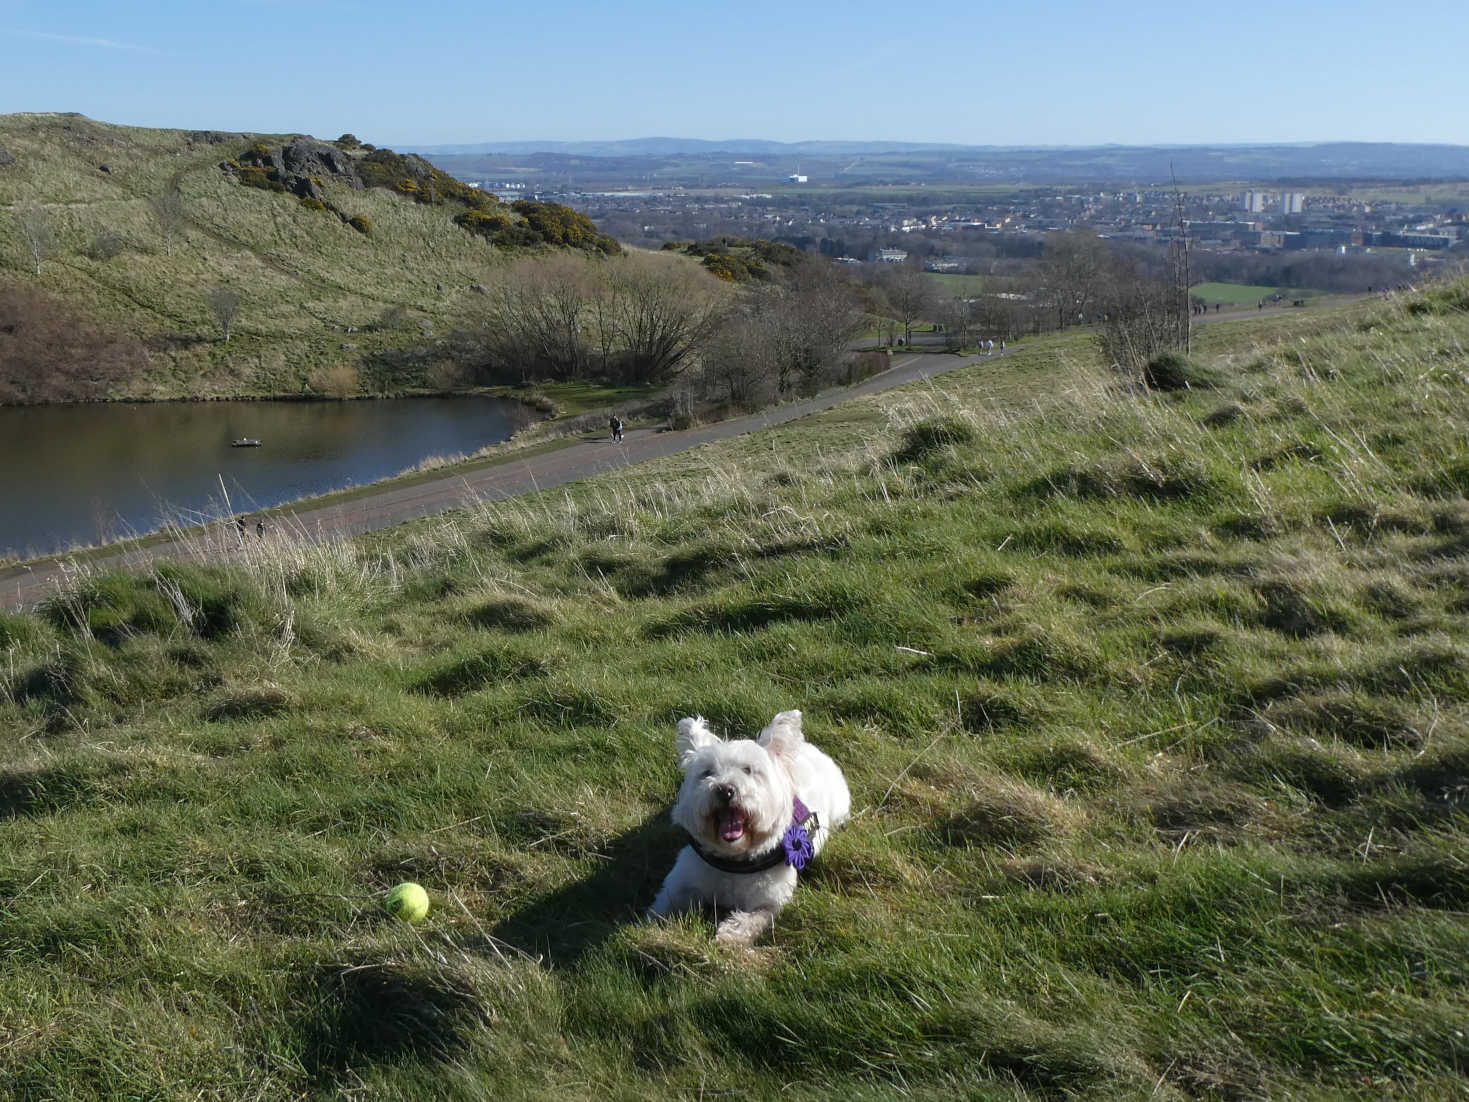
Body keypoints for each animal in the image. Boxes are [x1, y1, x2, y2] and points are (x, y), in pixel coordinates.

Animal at [652, 717, 852, 952]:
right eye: (707, 772)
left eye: (748, 770)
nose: (725, 790)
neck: (733, 861)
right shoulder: (681, 881)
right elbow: (663, 906)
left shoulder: (770, 899)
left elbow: (751, 919)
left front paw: (729, 937)